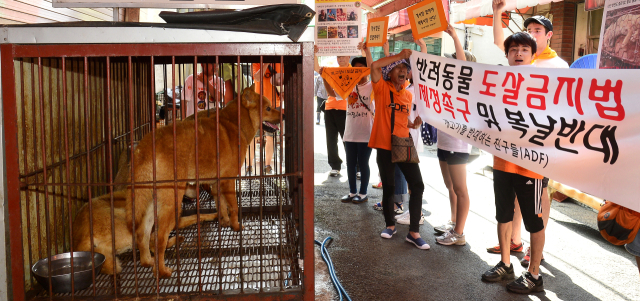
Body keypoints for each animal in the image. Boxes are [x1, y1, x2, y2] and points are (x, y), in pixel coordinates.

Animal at [126, 84, 282, 276]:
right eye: (268, 108)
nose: (282, 115)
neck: (234, 124)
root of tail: (145, 147)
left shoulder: (216, 183)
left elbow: (221, 205)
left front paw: (224, 222)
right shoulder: (228, 181)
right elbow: (234, 207)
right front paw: (236, 226)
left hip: (151, 203)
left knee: (144, 234)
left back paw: (148, 261)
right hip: (172, 202)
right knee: (160, 237)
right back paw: (162, 271)